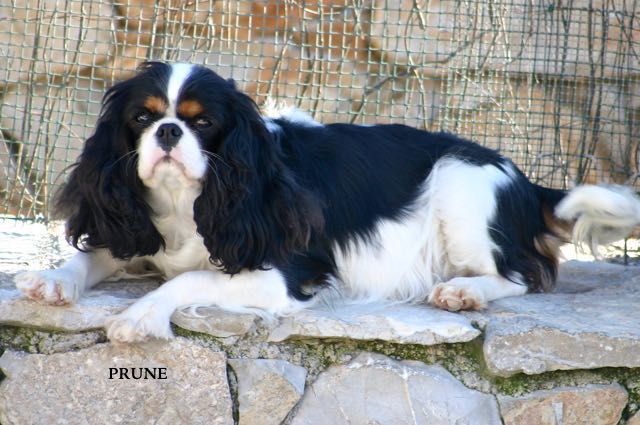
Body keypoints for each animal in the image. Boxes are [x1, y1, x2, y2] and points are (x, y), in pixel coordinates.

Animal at [14, 62, 640, 343]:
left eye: (204, 123)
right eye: (142, 119)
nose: (168, 132)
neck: (187, 202)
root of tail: (527, 181)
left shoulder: (279, 275)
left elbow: (189, 278)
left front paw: (138, 315)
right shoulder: (138, 231)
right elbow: (96, 253)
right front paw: (54, 280)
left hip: (461, 188)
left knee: (520, 276)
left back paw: (464, 291)